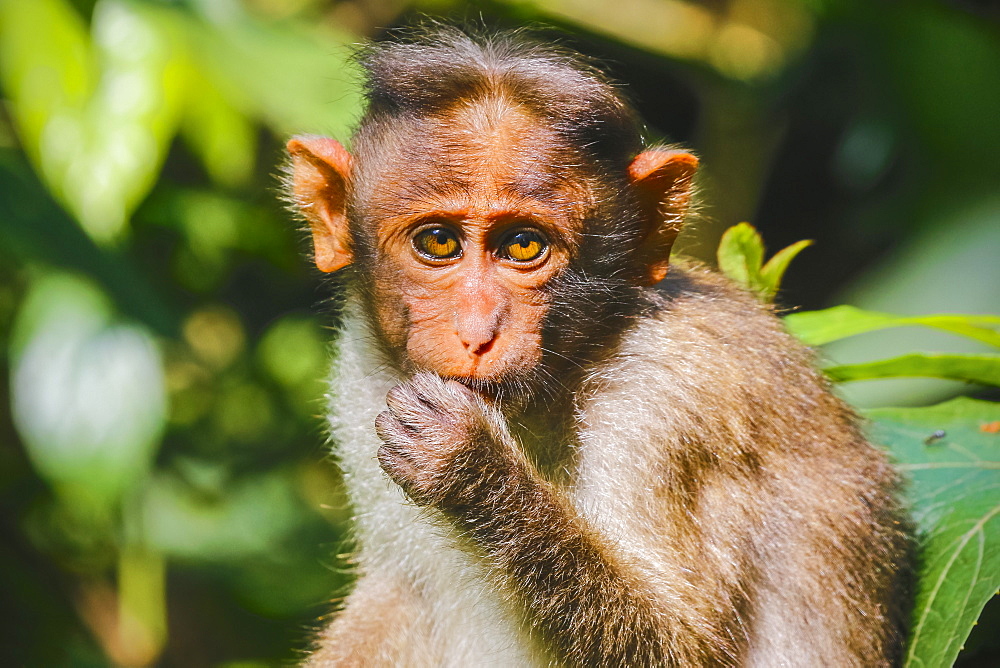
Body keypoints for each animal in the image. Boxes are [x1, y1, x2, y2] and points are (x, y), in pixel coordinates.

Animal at [284, 26, 916, 668]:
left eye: (523, 246)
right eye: (438, 242)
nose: (477, 331)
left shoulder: (672, 403)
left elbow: (686, 646)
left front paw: (470, 464)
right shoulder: (359, 378)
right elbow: (396, 593)